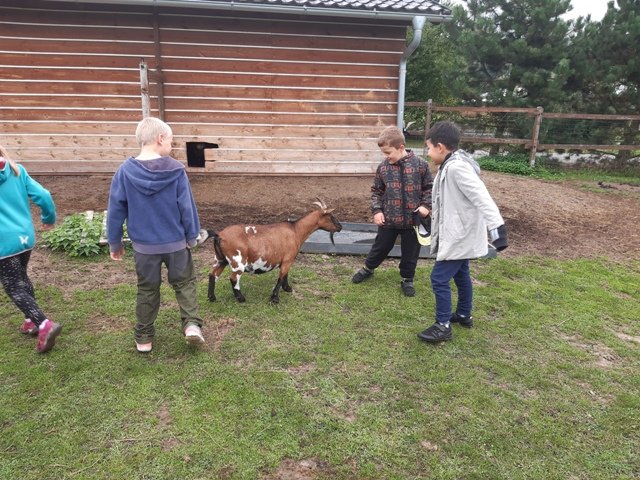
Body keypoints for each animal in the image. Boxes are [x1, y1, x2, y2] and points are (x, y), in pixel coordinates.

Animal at [207, 199, 342, 304]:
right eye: (331, 217)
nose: (340, 227)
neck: (296, 230)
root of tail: (219, 235)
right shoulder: (288, 259)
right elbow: (281, 277)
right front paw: (275, 298)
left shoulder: (286, 260)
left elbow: (285, 275)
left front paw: (287, 288)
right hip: (237, 261)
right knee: (233, 278)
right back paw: (241, 298)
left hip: (220, 259)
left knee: (213, 275)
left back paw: (212, 298)